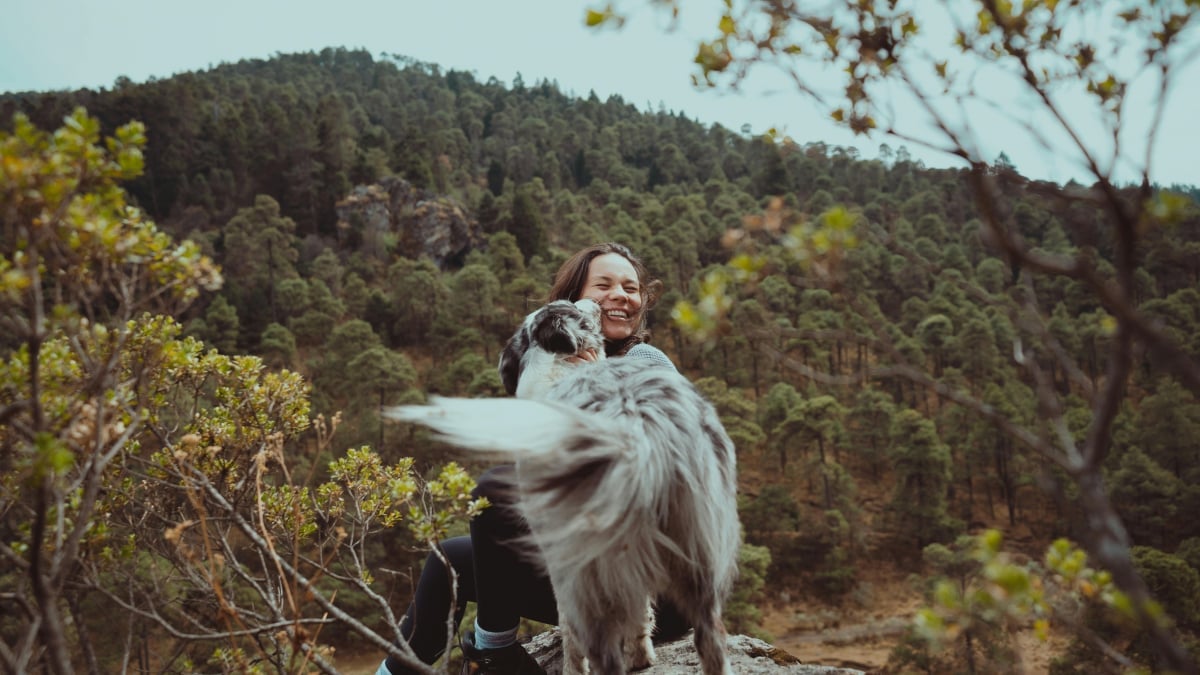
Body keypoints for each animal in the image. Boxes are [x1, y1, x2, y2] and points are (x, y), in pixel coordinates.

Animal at [388, 299, 734, 672]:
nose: (596, 302)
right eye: (573, 306)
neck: (560, 368)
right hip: (697, 546)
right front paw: (641, 656)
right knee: (709, 637)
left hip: (588, 568)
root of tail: (634, 423)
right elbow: (641, 614)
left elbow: (570, 634)